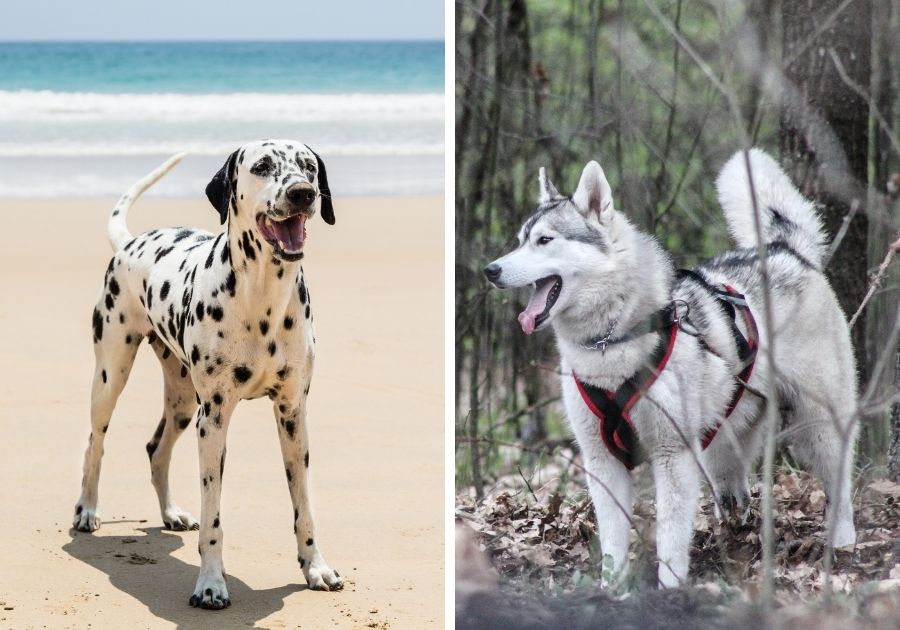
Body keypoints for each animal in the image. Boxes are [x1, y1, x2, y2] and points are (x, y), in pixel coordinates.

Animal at [74, 141, 344, 608]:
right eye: (262, 166)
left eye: (308, 166)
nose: (303, 193)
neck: (262, 298)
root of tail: (130, 243)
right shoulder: (214, 419)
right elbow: (214, 516)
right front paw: (211, 584)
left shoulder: (293, 415)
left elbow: (304, 508)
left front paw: (316, 567)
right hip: (111, 376)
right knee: (95, 443)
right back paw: (88, 510)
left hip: (183, 403)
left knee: (156, 449)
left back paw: (171, 513)